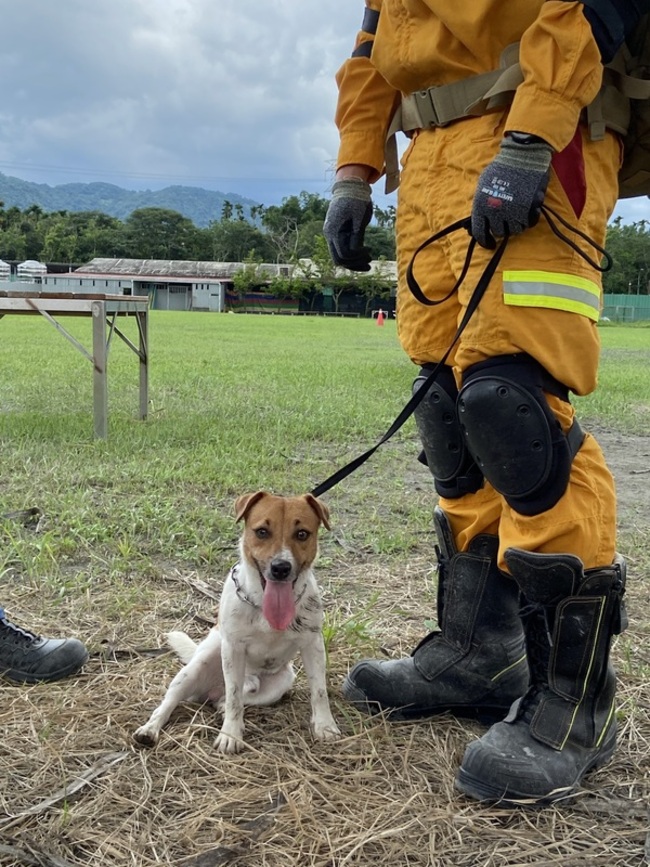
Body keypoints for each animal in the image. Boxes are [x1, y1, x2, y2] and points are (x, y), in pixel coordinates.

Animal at [132, 496, 340, 752]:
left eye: (302, 534)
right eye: (262, 532)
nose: (280, 568)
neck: (262, 605)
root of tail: (210, 689)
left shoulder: (313, 645)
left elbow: (319, 691)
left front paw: (325, 725)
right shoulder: (233, 649)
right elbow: (234, 697)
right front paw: (230, 734)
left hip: (279, 683)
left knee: (235, 697)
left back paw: (222, 705)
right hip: (194, 668)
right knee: (172, 702)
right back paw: (150, 729)